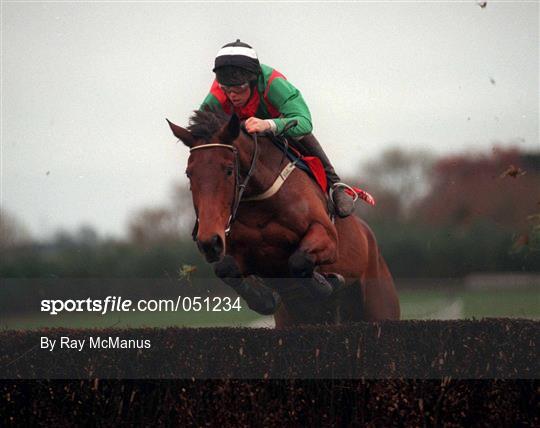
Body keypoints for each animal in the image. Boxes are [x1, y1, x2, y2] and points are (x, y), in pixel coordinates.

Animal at [167, 110, 398, 328]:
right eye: (189, 173)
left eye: (229, 170)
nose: (209, 242)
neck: (260, 202)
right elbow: (226, 269)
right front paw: (266, 298)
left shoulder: (328, 238)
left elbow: (299, 260)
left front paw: (327, 282)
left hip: (380, 304)